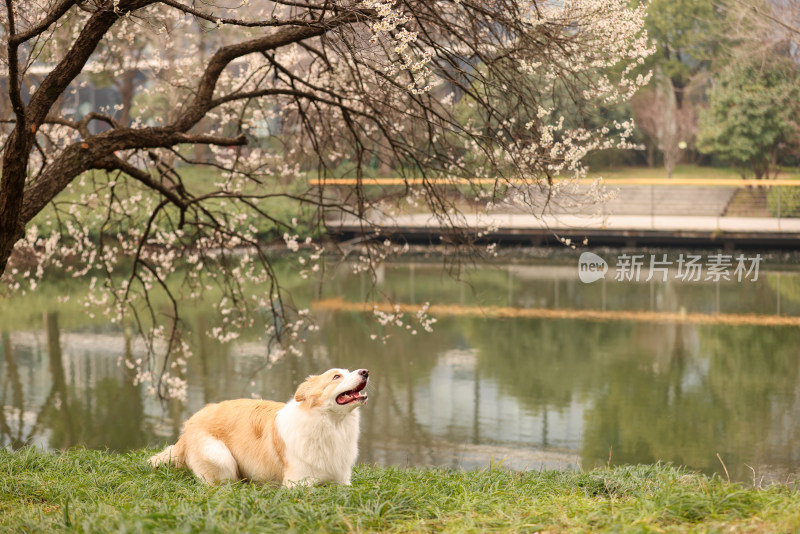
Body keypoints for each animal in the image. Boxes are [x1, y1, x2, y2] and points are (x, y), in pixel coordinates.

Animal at [149, 370, 368, 488]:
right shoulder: (298, 484)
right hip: (219, 456)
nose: (365, 371)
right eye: (336, 376)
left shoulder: (343, 481)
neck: (332, 424)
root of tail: (188, 426)